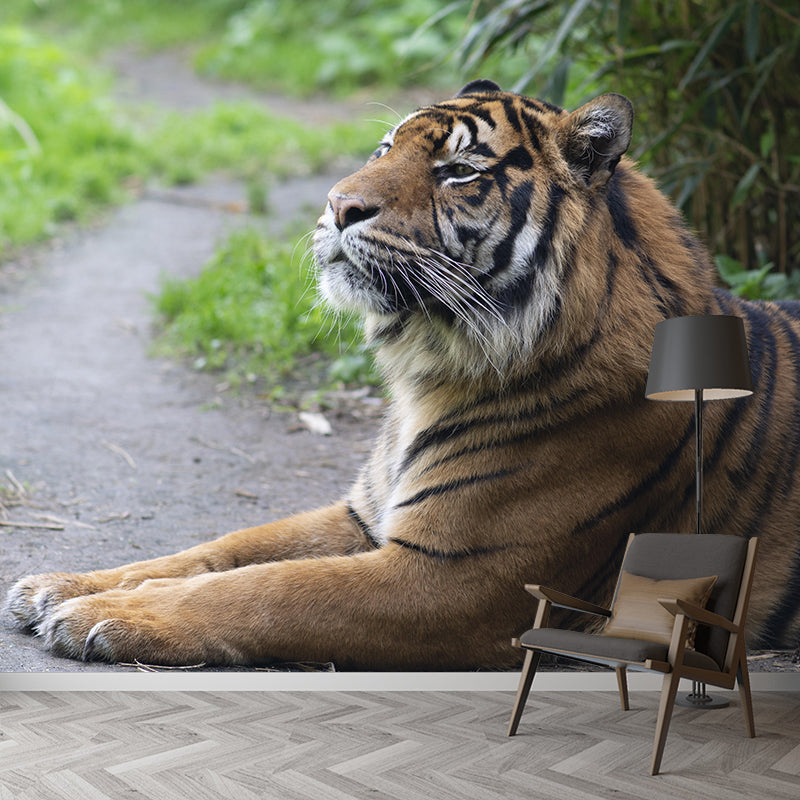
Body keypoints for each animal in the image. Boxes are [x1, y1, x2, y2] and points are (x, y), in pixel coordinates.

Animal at [6, 80, 800, 669]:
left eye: (459, 171)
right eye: (385, 147)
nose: (336, 204)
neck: (431, 367)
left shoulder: (459, 577)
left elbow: (267, 589)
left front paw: (102, 614)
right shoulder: (362, 514)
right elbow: (221, 549)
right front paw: (59, 585)